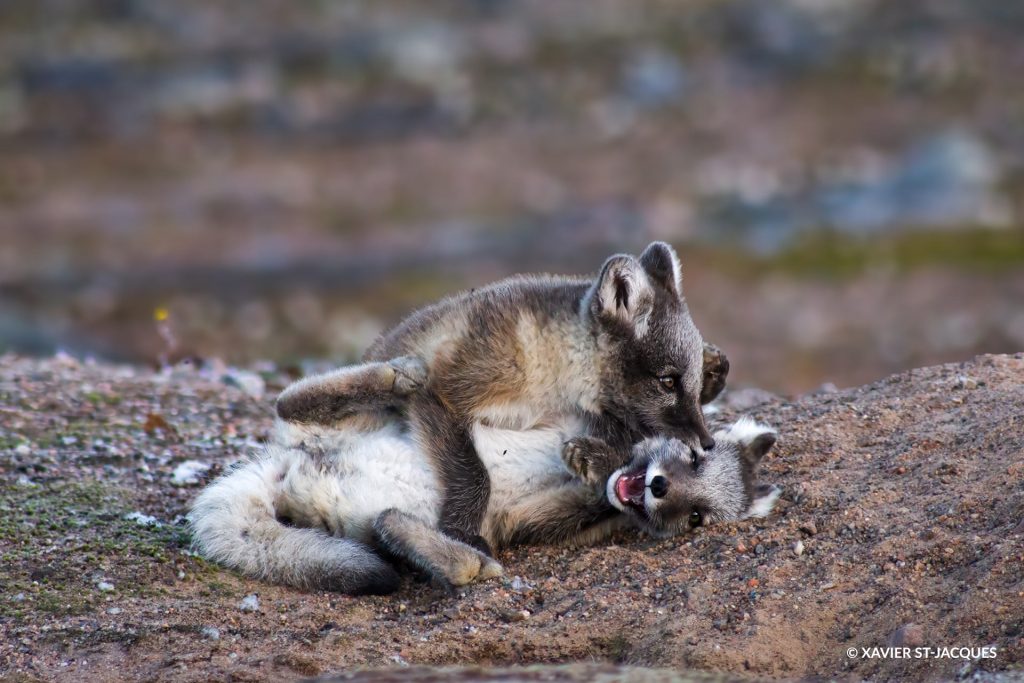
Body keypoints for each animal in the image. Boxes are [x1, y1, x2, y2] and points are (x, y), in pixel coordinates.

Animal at [189, 355, 781, 594]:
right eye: (694, 461)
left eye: (698, 518)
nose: (658, 488)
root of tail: (287, 469)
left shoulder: (538, 522)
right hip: (364, 422)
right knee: (289, 398)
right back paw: (399, 374)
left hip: (364, 518)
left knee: (389, 525)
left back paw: (459, 561)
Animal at [276, 242, 728, 553]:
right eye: (667, 381)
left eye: (682, 381)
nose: (707, 443)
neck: (556, 374)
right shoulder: (447, 390)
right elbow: (476, 476)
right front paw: (460, 532)